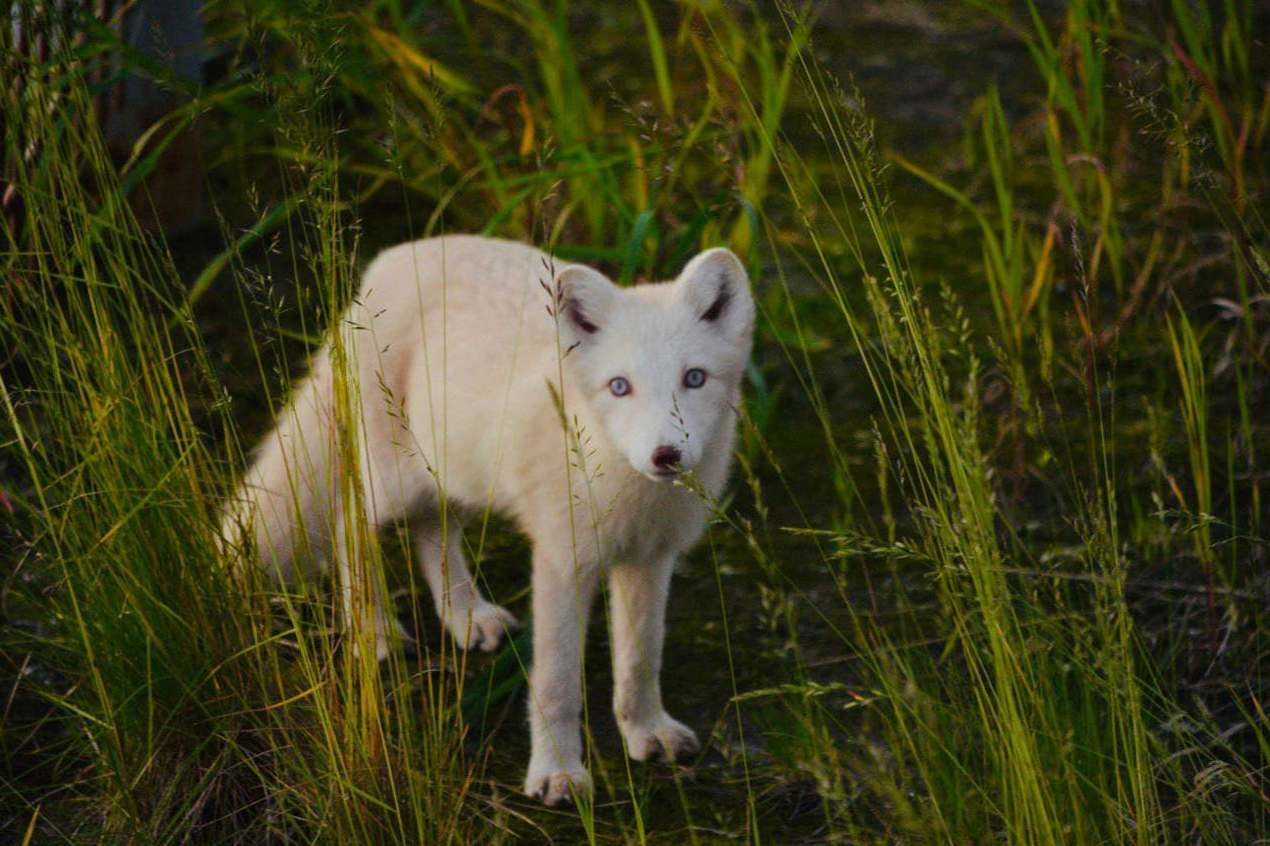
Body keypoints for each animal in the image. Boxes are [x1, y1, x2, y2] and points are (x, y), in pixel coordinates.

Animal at [223, 233, 751, 802]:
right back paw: (374, 631)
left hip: (455, 478)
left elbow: (640, 660)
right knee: (349, 521)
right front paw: (557, 773)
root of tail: (395, 258)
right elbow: (557, 683)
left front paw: (647, 732)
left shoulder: (650, 559)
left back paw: (467, 618)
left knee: (432, 532)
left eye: (694, 378)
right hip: (394, 482)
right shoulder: (563, 560)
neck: (626, 487)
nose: (665, 455)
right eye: (619, 386)